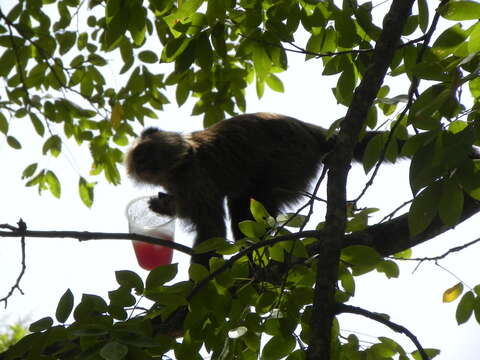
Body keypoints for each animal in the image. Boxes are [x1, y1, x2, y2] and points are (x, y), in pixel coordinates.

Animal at [125, 112, 396, 268]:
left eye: (148, 157)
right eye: (140, 158)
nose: (142, 164)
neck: (183, 159)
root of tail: (311, 131)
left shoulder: (193, 177)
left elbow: (211, 230)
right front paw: (164, 206)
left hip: (292, 161)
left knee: (255, 197)